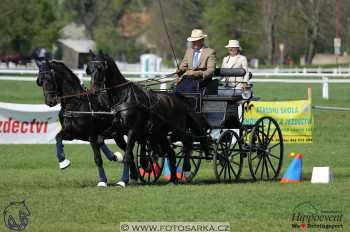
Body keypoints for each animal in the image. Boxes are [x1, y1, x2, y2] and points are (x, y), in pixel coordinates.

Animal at [36, 59, 133, 187]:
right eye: (40, 81)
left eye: (49, 78)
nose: (50, 101)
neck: (76, 104)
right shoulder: (73, 134)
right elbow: (58, 137)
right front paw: (63, 162)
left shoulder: (91, 135)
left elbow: (98, 158)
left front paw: (102, 180)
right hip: (117, 135)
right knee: (126, 150)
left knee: (128, 151)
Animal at [87, 50, 211, 187]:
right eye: (89, 69)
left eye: (100, 68)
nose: (92, 91)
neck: (123, 96)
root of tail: (180, 99)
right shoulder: (117, 129)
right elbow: (100, 139)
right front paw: (114, 157)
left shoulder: (132, 130)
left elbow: (128, 155)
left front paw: (123, 181)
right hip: (160, 134)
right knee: (172, 153)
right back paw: (173, 180)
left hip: (177, 129)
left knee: (188, 142)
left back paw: (187, 168)